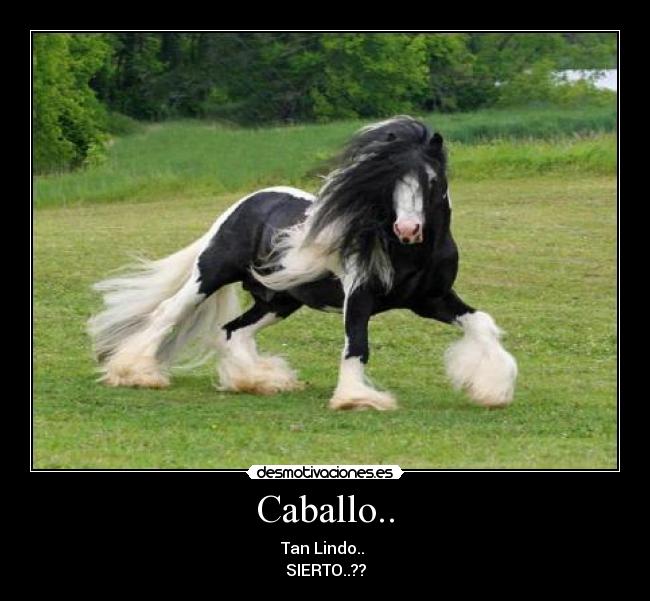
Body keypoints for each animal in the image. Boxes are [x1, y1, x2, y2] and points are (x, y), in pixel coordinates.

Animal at [87, 115, 517, 411]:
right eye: (388, 181)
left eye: (430, 181)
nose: (408, 228)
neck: (411, 254)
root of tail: (247, 203)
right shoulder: (359, 298)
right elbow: (357, 345)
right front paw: (356, 399)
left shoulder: (432, 299)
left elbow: (482, 323)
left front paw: (493, 388)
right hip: (210, 274)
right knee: (166, 314)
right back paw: (135, 373)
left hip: (280, 300)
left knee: (232, 331)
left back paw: (259, 381)